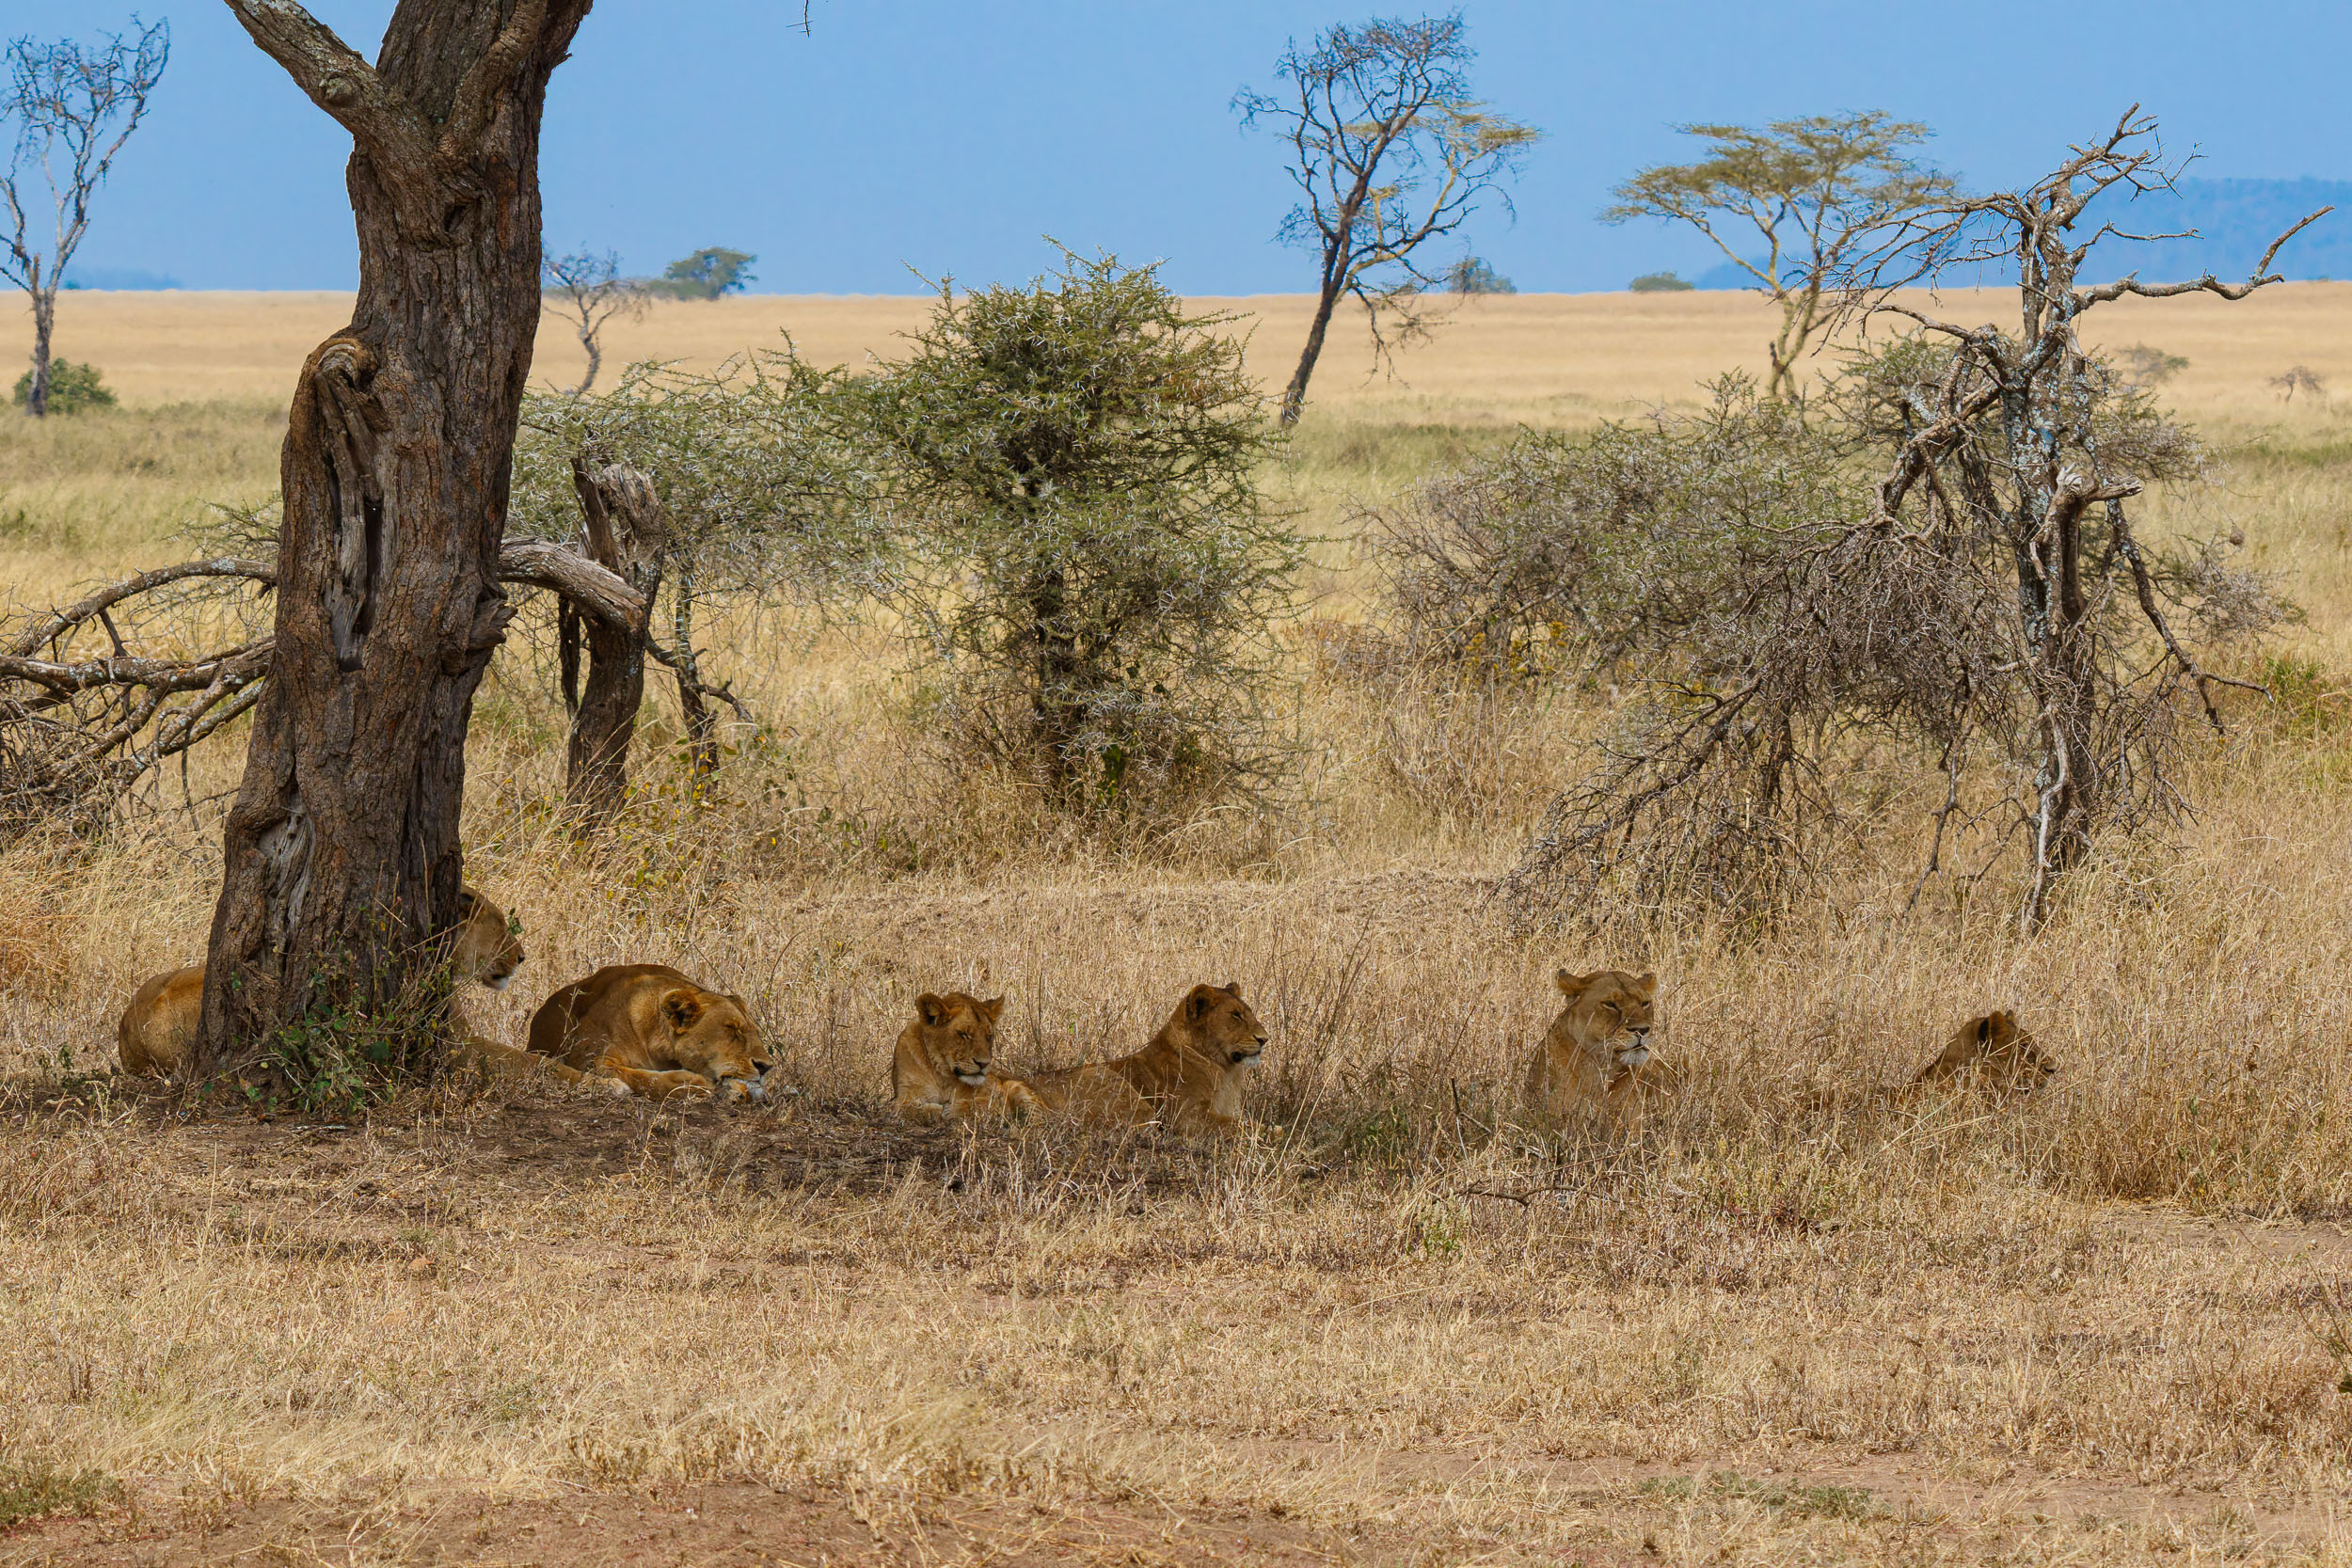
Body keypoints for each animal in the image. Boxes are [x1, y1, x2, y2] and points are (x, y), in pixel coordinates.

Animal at [511, 964, 772, 1101]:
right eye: (732, 1029)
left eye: (756, 1032)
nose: (766, 1067)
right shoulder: (591, 1060)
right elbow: (644, 1078)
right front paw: (695, 1082)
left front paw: (736, 1090)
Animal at [891, 991, 1044, 1123]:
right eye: (964, 1034)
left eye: (989, 1036)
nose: (984, 1064)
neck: (944, 1075)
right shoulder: (905, 1094)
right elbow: (908, 1108)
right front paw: (935, 1110)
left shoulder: (995, 1094)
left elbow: (982, 1104)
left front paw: (952, 1109)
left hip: (1018, 1088)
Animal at [1027, 982, 1266, 1138]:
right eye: (1236, 1015)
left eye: (1248, 1013)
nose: (1265, 1039)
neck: (1226, 1070)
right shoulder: (1188, 1118)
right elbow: (1244, 1126)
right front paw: (1269, 1133)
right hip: (1115, 1085)